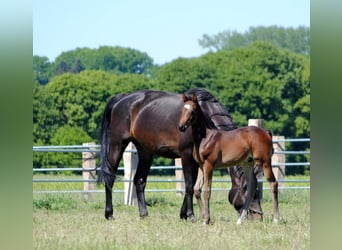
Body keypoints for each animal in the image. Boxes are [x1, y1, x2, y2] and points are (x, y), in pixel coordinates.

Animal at [99, 88, 264, 221]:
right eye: (249, 192)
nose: (259, 217)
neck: (204, 118)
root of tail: (121, 98)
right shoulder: (186, 156)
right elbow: (190, 185)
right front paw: (190, 215)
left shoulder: (198, 161)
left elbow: (193, 185)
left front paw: (183, 214)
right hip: (117, 144)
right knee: (110, 176)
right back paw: (109, 214)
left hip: (145, 151)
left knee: (139, 180)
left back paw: (144, 214)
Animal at [178, 94, 280, 225]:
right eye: (182, 110)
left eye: (193, 110)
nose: (181, 126)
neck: (206, 138)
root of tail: (266, 132)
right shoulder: (201, 166)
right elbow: (196, 189)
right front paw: (206, 218)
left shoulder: (209, 165)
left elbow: (207, 191)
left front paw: (206, 220)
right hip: (247, 163)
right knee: (252, 185)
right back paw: (240, 220)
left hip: (264, 161)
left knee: (273, 183)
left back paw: (276, 219)